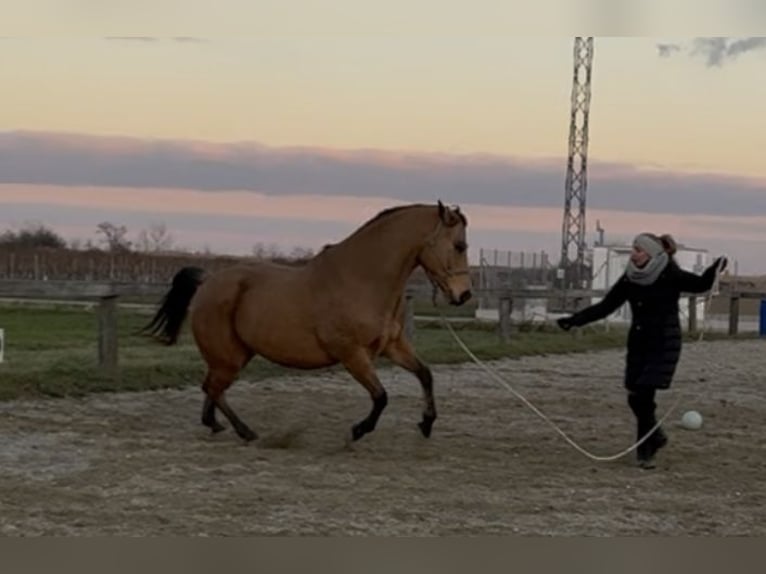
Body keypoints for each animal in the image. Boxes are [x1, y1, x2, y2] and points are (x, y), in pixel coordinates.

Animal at [141, 200, 472, 443]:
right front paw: (358, 430)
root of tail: (208, 281)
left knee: (212, 387)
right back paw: (244, 431)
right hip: (229, 357)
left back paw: (215, 424)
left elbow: (425, 374)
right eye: (459, 246)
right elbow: (381, 397)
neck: (362, 281)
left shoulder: (392, 346)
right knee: (213, 387)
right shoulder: (352, 354)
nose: (464, 294)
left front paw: (426, 423)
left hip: (235, 354)